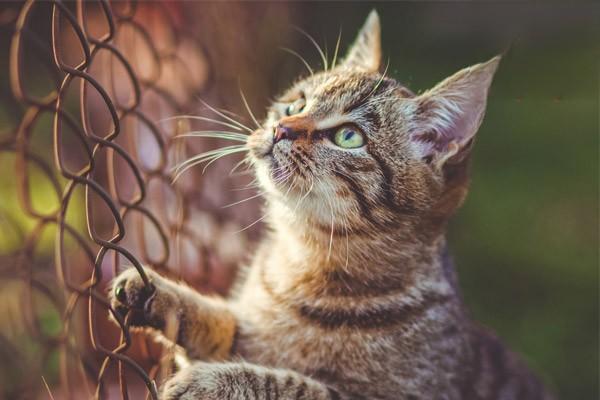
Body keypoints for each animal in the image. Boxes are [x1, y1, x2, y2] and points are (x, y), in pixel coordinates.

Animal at [110, 9, 556, 400]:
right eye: (296, 104)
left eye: (348, 136)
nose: (281, 128)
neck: (304, 260)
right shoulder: (245, 331)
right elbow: (221, 322)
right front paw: (156, 293)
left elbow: (288, 382)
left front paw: (213, 381)